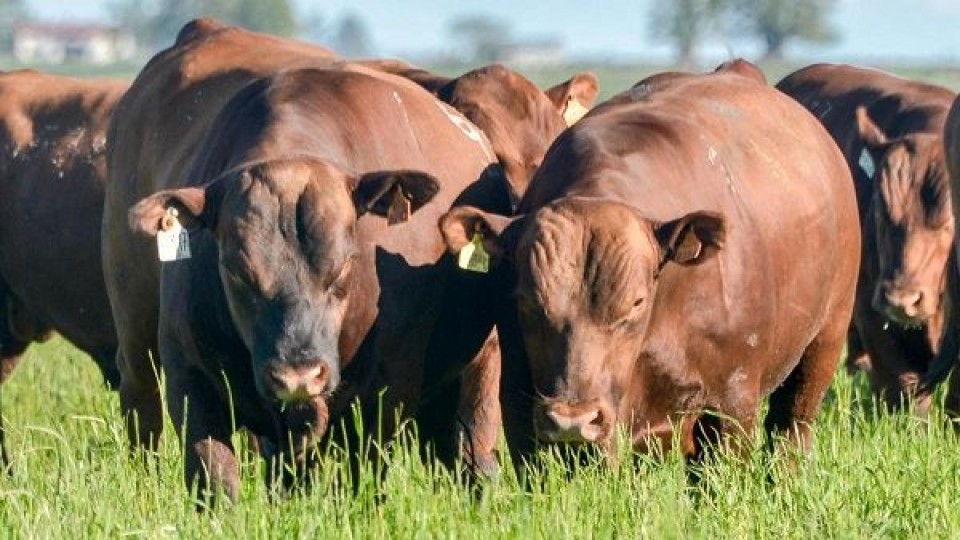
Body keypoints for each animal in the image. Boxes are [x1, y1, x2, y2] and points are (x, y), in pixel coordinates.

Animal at [104, 21, 510, 502]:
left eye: (344, 266)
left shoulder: (387, 387)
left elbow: (364, 470)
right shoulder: (190, 375)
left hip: (480, 363)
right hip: (137, 341)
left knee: (469, 444)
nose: (297, 375)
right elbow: (214, 477)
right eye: (236, 271)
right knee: (142, 412)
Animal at [438, 61, 860, 466]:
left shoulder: (731, 405)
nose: (572, 419)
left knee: (791, 434)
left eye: (637, 302)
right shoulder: (524, 405)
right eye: (526, 300)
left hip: (822, 346)